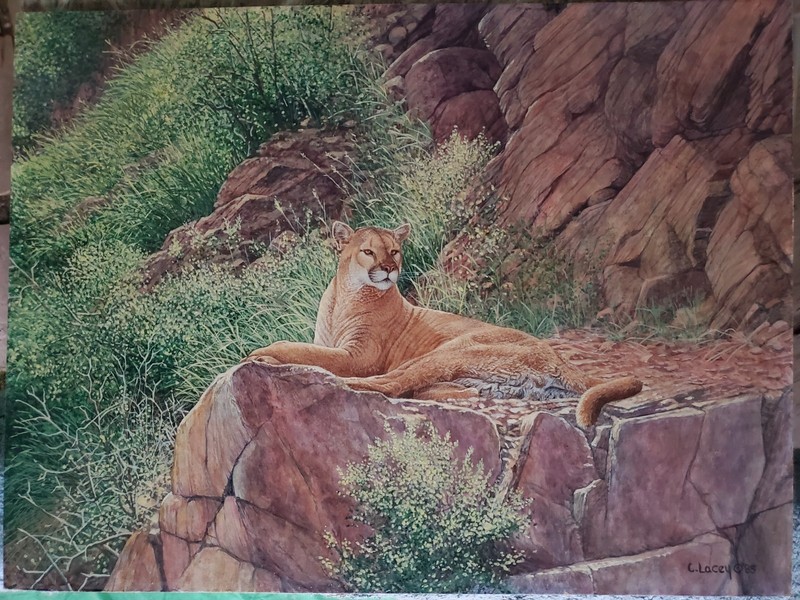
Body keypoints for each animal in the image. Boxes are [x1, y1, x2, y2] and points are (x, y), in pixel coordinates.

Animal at [246, 221, 642, 427]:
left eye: (395, 251)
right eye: (368, 251)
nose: (389, 269)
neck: (345, 296)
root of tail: (558, 357)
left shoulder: (357, 355)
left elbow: (303, 351)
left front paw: (262, 353)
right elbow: (309, 348)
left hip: (451, 352)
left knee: (390, 383)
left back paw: (341, 384)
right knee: (433, 388)